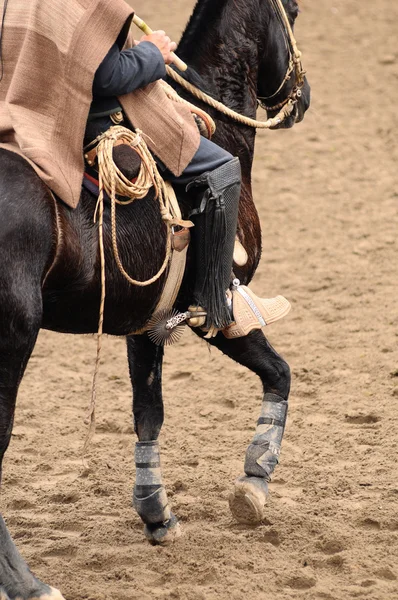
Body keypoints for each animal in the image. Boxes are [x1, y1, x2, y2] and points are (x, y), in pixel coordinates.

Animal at [0, 0, 310, 596]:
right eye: (295, 10)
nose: (302, 97)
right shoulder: (217, 307)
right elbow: (280, 373)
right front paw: (254, 480)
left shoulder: (145, 320)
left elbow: (148, 414)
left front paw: (156, 513)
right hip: (14, 338)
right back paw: (28, 583)